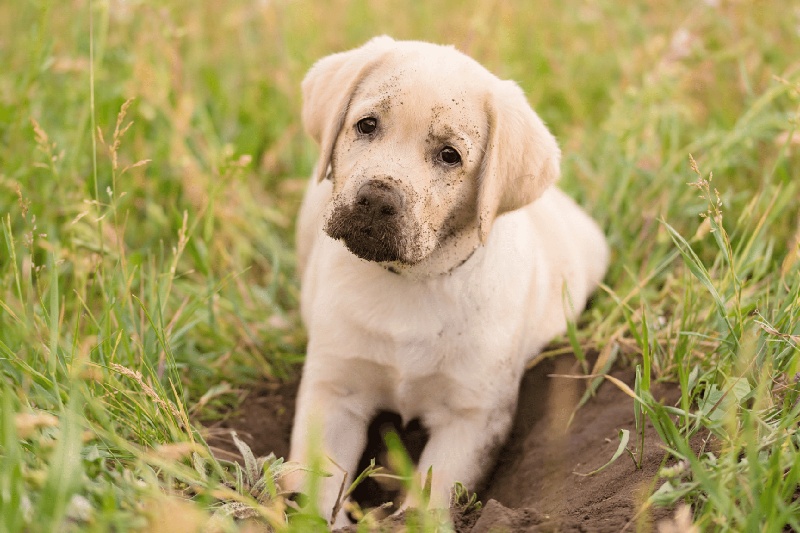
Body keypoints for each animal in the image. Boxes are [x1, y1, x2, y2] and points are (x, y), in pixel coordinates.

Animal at [288, 36, 608, 524]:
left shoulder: (471, 416)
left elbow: (434, 495)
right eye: (367, 125)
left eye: (449, 156)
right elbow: (320, 480)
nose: (376, 199)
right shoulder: (334, 388)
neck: (411, 281)